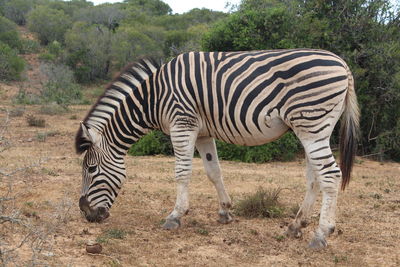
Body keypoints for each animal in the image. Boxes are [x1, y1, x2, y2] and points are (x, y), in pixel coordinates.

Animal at [75, 49, 360, 250]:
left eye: (91, 169)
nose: (87, 214)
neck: (153, 98)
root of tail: (343, 64)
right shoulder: (202, 132)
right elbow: (214, 171)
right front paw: (225, 212)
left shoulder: (182, 124)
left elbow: (182, 173)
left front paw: (175, 216)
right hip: (313, 128)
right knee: (314, 178)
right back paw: (295, 225)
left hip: (312, 123)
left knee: (330, 176)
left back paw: (321, 234)